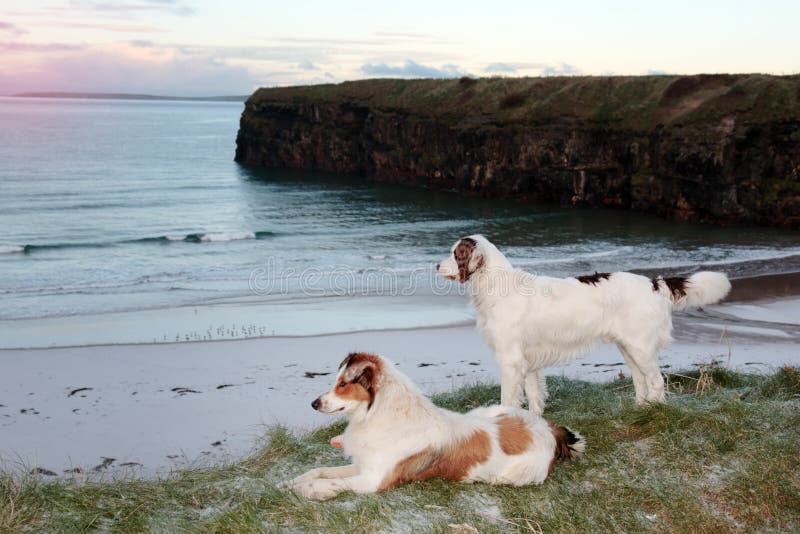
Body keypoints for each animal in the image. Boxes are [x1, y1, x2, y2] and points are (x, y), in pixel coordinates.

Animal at [284, 354, 584, 500]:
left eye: (343, 384)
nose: (313, 403)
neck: (379, 415)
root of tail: (548, 428)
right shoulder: (364, 464)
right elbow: (321, 470)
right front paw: (291, 481)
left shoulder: (374, 479)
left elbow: (333, 481)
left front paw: (309, 490)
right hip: (490, 409)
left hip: (511, 476)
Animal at [438, 234, 732, 414]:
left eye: (455, 253)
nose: (436, 265)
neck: (499, 285)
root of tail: (655, 283)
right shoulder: (527, 360)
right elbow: (534, 395)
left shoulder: (510, 360)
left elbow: (509, 399)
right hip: (630, 348)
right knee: (641, 381)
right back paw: (639, 410)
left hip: (641, 347)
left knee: (657, 381)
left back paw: (654, 412)